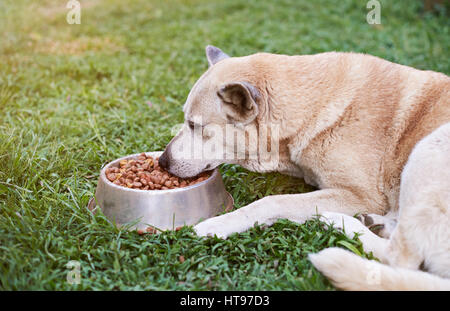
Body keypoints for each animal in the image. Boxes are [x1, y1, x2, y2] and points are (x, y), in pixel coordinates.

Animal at [159, 45, 450, 290]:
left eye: (194, 125)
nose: (162, 161)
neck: (313, 108)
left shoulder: (362, 195)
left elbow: (272, 202)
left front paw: (216, 224)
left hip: (428, 148)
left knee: (398, 259)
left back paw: (338, 221)